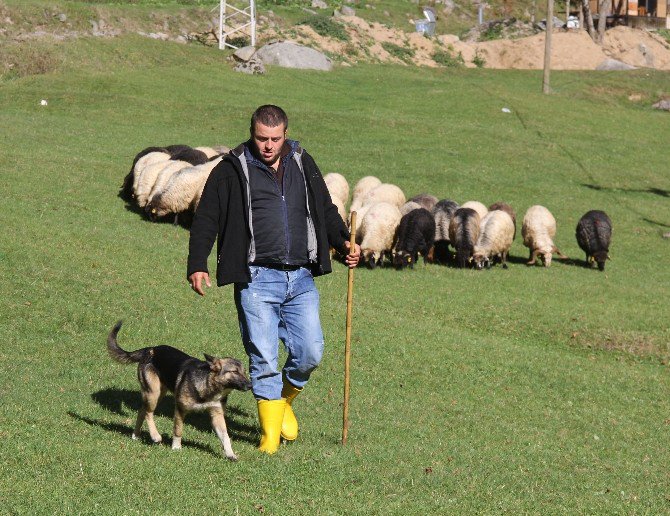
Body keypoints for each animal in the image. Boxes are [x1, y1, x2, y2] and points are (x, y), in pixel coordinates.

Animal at [107, 320, 252, 462]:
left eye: (244, 372)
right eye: (234, 371)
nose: (250, 385)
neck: (208, 386)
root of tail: (149, 349)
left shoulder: (217, 414)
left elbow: (225, 436)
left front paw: (230, 454)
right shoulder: (180, 409)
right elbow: (178, 430)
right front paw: (176, 447)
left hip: (159, 393)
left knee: (142, 410)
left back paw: (135, 435)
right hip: (153, 393)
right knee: (148, 413)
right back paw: (155, 436)